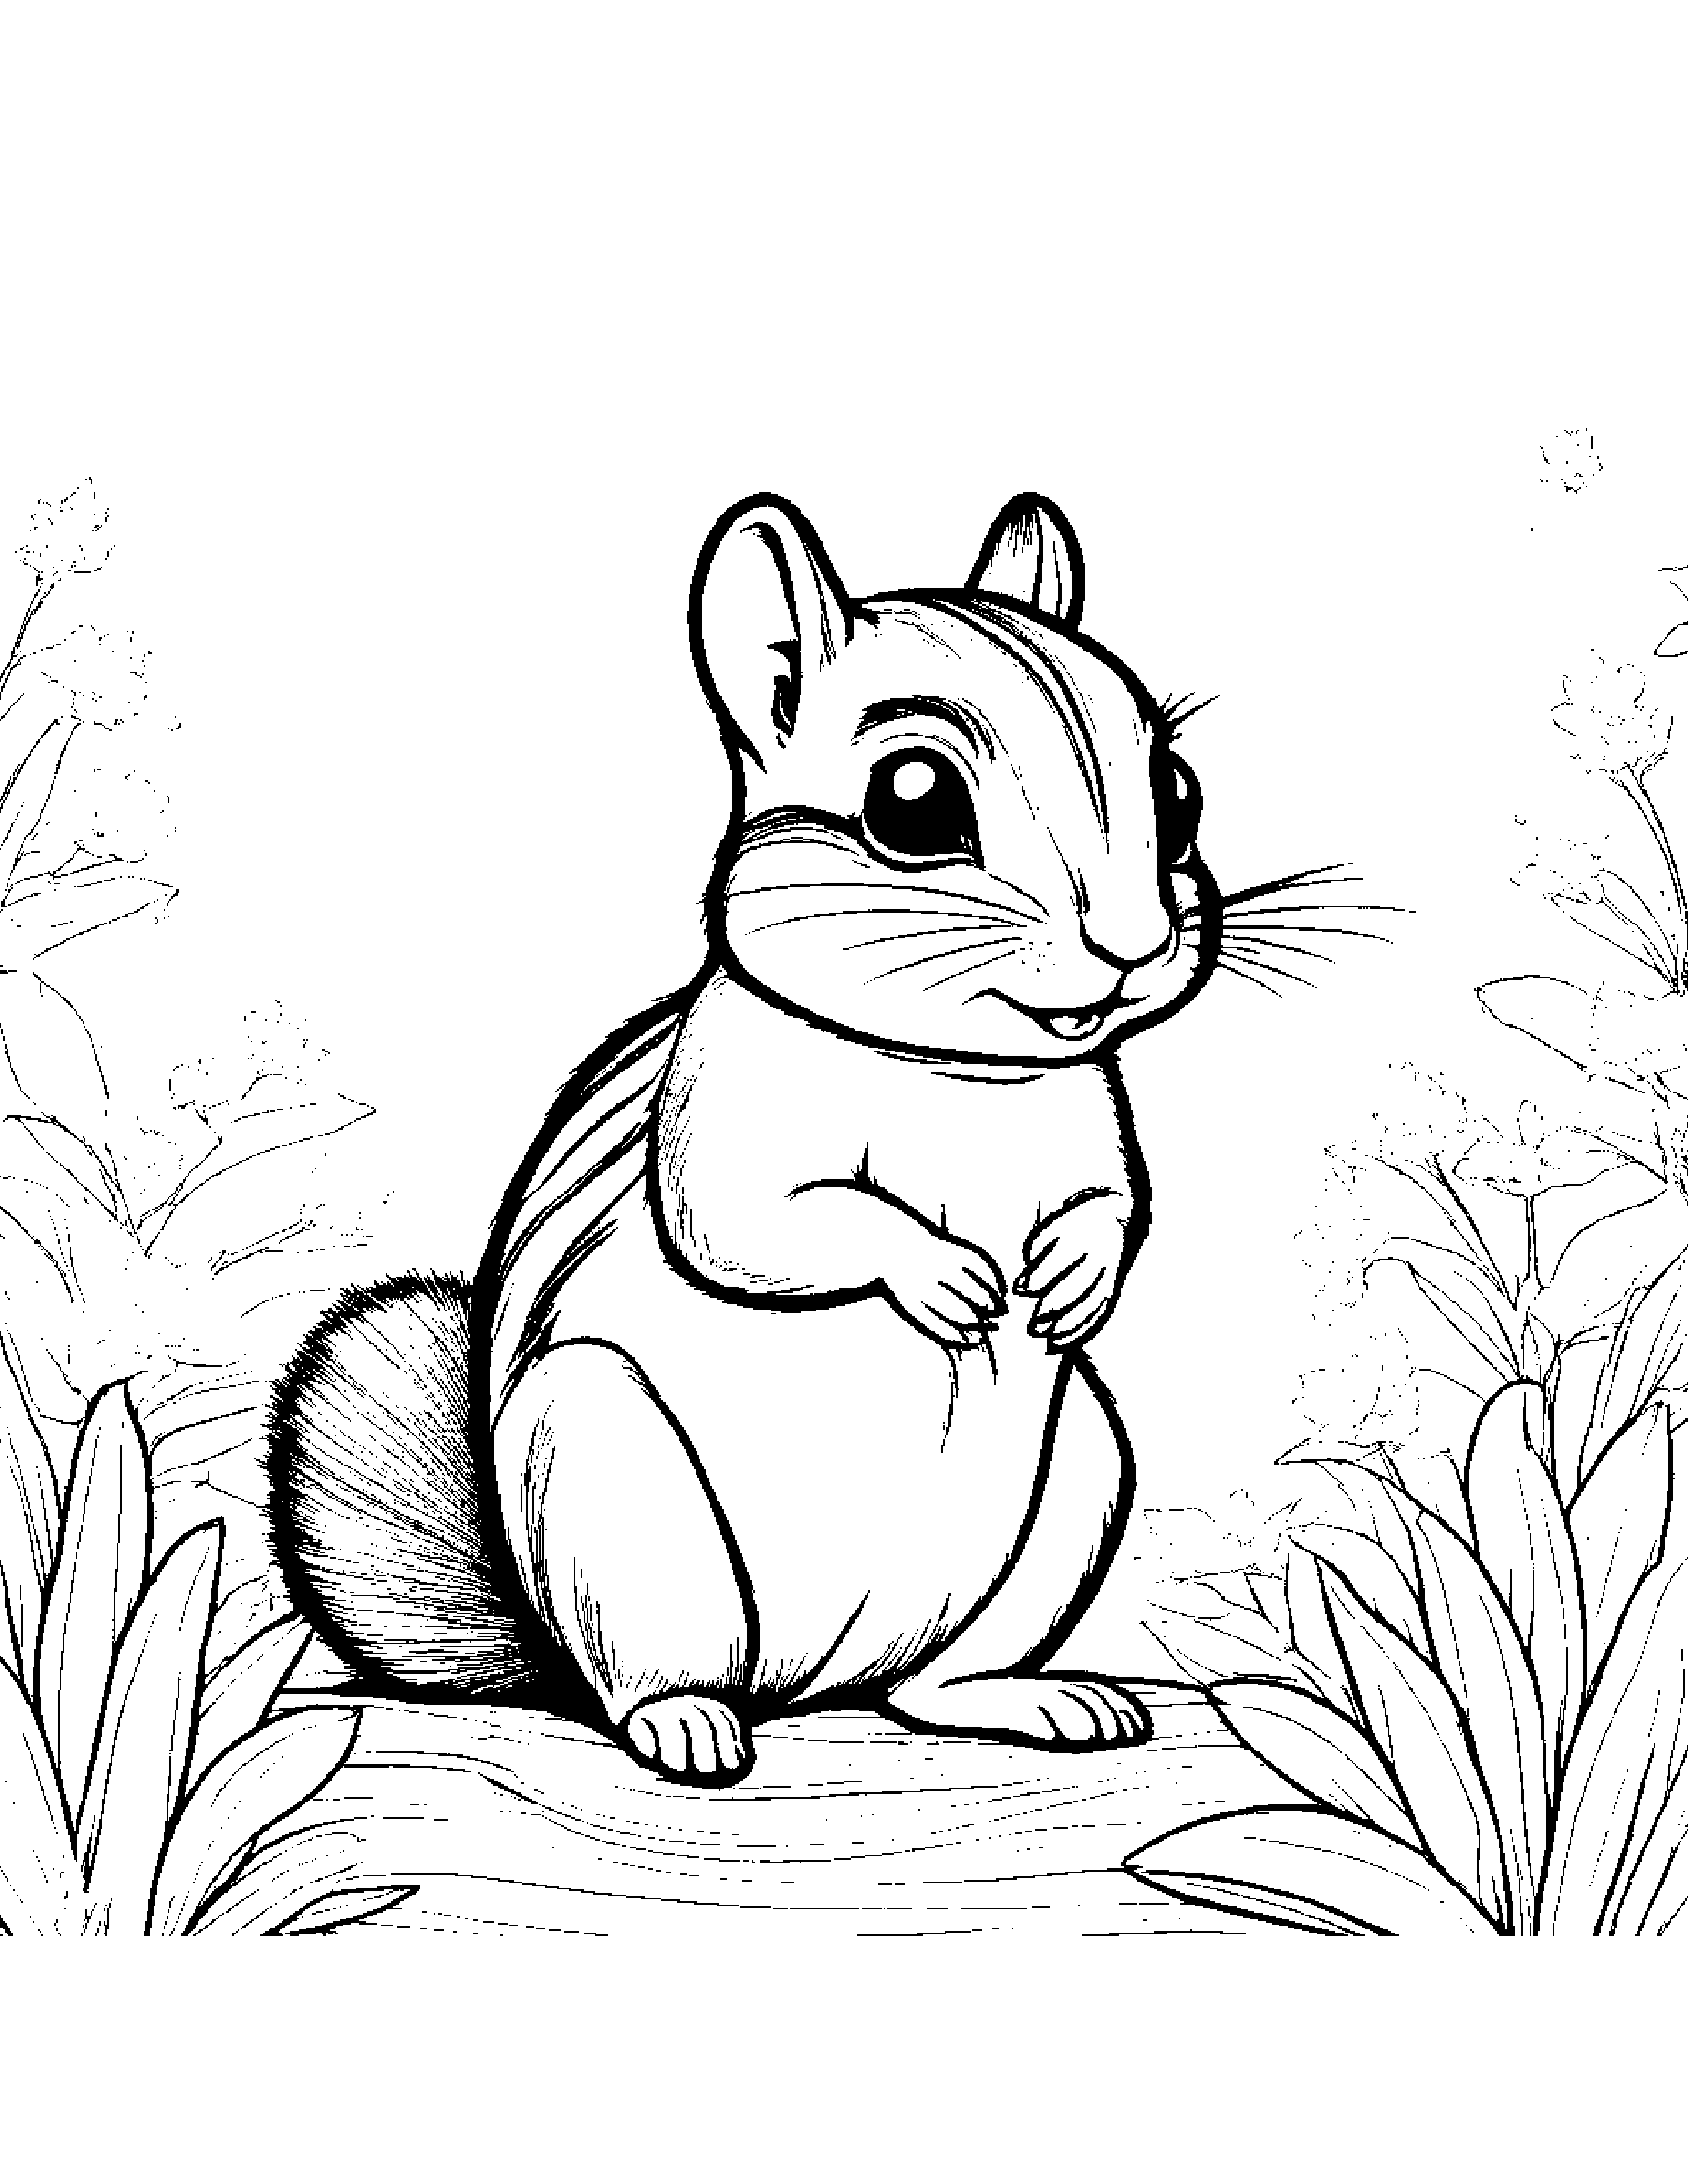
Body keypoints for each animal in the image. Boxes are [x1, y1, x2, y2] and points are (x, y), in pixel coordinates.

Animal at [266, 491, 1221, 1786]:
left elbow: (1116, 1208)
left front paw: (1075, 1275)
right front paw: (940, 1275)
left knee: (930, 1684)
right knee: (650, 1676)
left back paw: (1024, 1697)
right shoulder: (725, 1114)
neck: (956, 1072)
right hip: (616, 1488)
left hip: (1079, 1477)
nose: (1133, 946)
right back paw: (686, 1725)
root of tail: (813, 1683)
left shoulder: (1095, 1126)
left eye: (1179, 794)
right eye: (912, 800)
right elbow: (752, 1227)